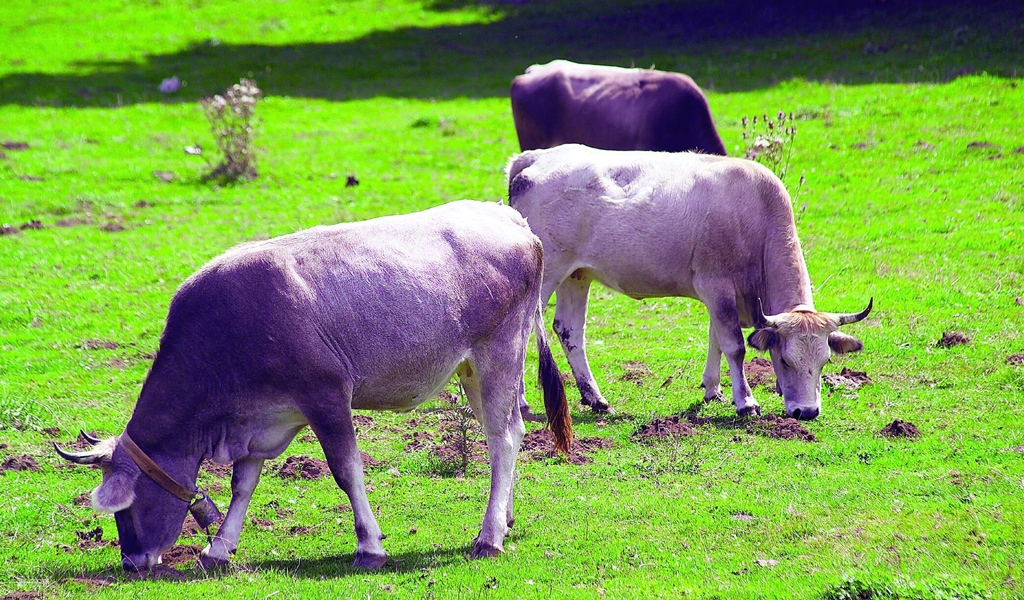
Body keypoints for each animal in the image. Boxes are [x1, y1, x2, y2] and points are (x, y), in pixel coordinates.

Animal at [56, 200, 573, 569]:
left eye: (126, 507)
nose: (131, 562)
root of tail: (507, 216)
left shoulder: (325, 396)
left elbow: (346, 471)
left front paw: (369, 546)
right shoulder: (257, 420)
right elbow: (243, 484)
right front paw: (219, 547)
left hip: (498, 354)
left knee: (503, 439)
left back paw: (489, 536)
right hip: (472, 370)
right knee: (506, 436)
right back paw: (505, 517)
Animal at [505, 142, 872, 417]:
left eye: (825, 361)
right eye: (784, 359)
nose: (807, 412)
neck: (756, 217)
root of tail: (534, 157)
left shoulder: (722, 297)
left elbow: (716, 340)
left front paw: (713, 390)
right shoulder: (717, 286)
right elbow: (734, 346)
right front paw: (746, 402)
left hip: (577, 274)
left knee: (570, 330)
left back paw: (596, 399)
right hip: (548, 272)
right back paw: (521, 403)